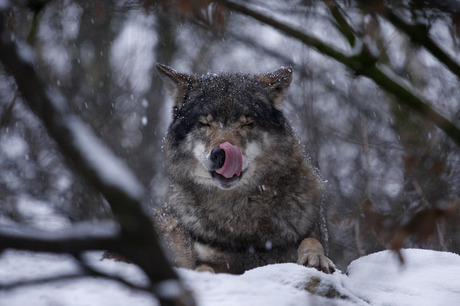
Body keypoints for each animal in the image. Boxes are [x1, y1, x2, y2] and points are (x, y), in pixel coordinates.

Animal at [155, 63, 334, 274]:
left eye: (247, 124)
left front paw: (316, 258)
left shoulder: (305, 232)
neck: (239, 212)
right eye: (204, 123)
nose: (220, 154)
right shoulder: (206, 261)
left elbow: (311, 241)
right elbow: (204, 269)